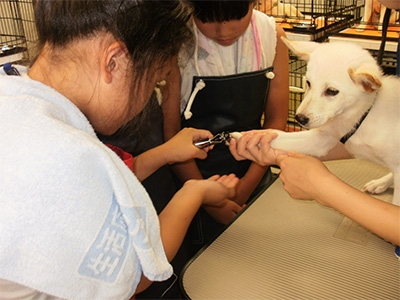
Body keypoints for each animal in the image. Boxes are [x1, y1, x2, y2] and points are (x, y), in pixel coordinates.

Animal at [270, 37, 398, 205]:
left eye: (332, 91)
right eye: (308, 83)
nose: (300, 118)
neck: (363, 114)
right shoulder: (323, 138)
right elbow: (279, 139)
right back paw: (380, 183)